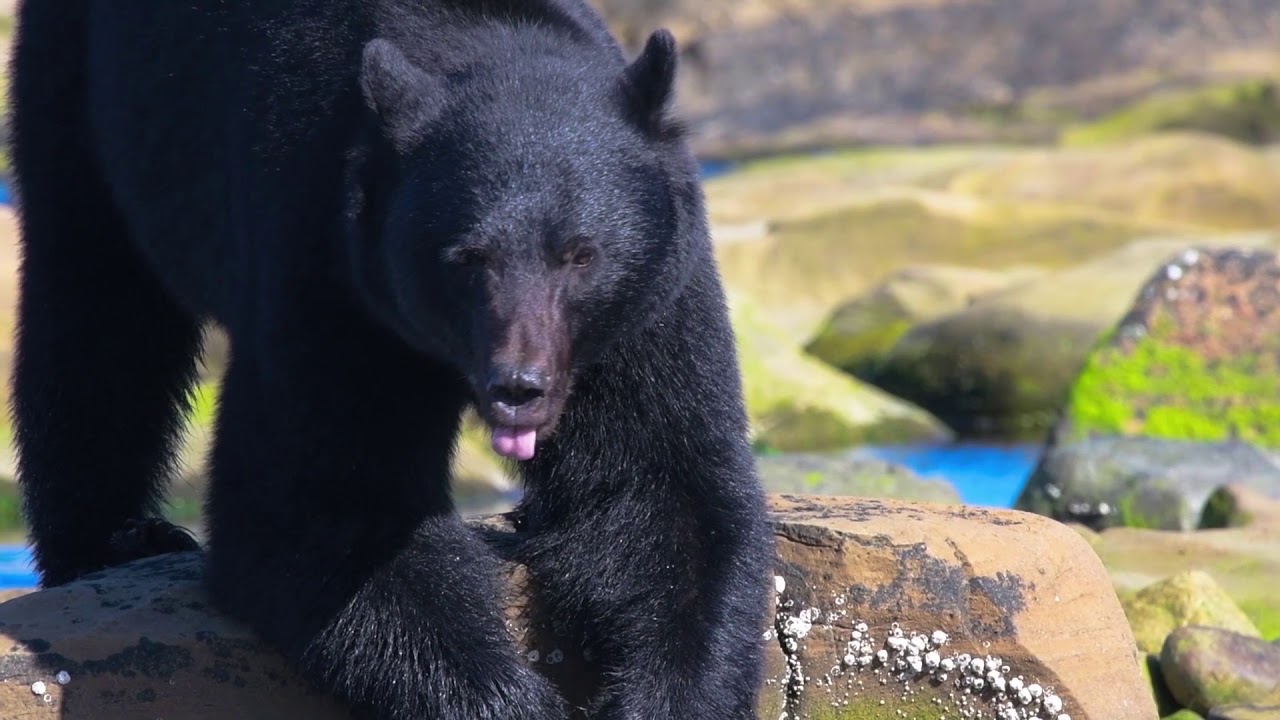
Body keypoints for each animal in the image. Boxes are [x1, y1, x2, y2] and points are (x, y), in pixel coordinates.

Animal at [5, 0, 774, 718]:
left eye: (581, 254)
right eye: (466, 257)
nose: (518, 388)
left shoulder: (654, 295)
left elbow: (663, 482)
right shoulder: (330, 265)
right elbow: (322, 506)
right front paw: (513, 701)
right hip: (84, 89)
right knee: (95, 310)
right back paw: (116, 540)